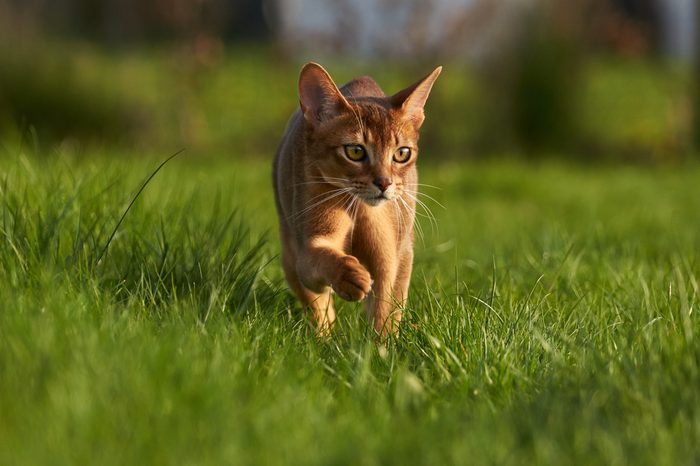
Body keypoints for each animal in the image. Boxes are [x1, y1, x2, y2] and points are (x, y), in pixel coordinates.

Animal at [272, 62, 440, 338]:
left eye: (402, 154)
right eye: (355, 151)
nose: (384, 183)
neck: (359, 209)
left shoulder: (390, 257)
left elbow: (385, 310)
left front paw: (380, 345)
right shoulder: (307, 252)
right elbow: (321, 260)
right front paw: (350, 276)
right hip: (289, 254)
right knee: (318, 307)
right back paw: (324, 338)